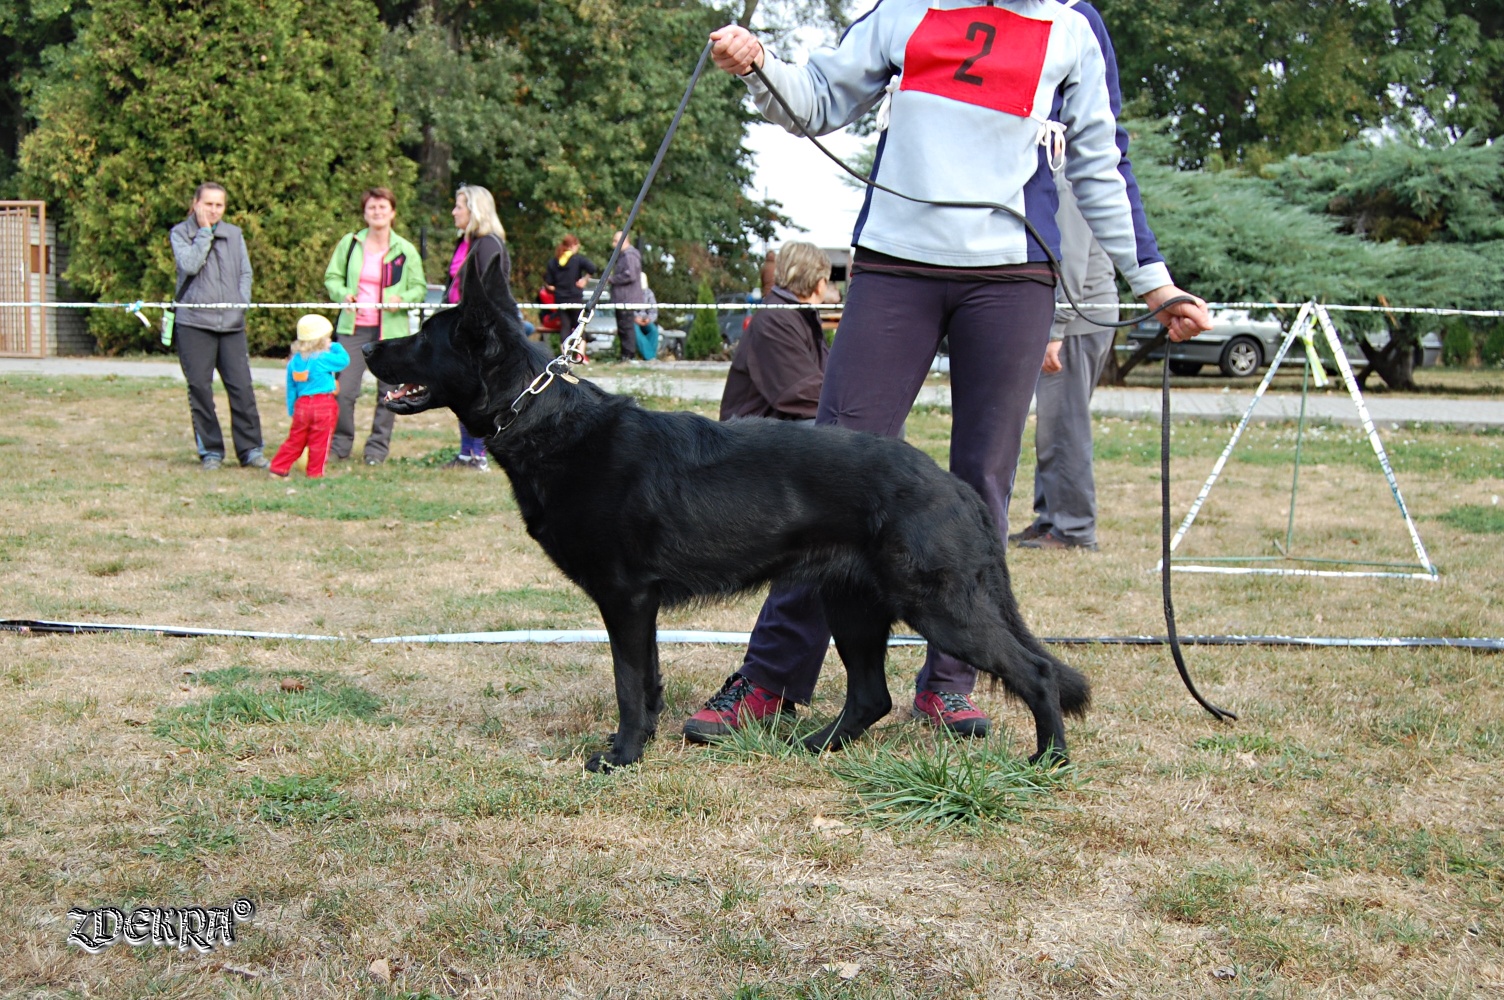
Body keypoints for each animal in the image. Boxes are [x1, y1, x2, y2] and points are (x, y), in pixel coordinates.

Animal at [366, 261, 1094, 766]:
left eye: (424, 335)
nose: (369, 348)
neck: (544, 418)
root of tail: (955, 487)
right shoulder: (639, 607)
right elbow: (647, 683)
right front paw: (639, 747)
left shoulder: (626, 599)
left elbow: (629, 683)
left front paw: (621, 757)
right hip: (854, 608)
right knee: (872, 696)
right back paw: (815, 746)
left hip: (935, 608)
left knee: (1034, 673)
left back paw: (1048, 761)